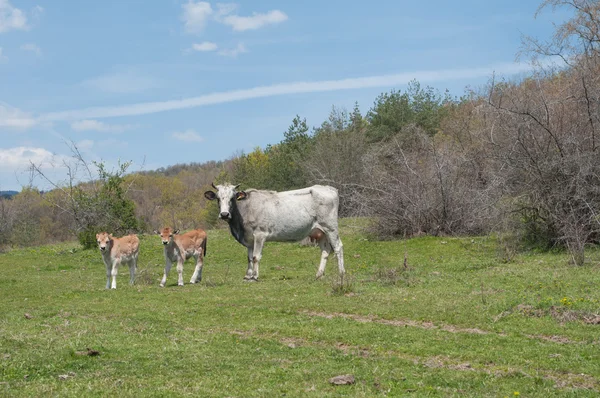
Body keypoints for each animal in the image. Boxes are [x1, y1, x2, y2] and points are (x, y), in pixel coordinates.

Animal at [204, 183, 344, 280]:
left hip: (331, 227)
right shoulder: (249, 239)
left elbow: (256, 256)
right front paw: (248, 275)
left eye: (232, 198)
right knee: (325, 251)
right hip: (320, 232)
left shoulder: (260, 234)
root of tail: (328, 188)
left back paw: (341, 273)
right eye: (218, 198)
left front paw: (254, 276)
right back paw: (319, 274)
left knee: (338, 247)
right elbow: (249, 258)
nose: (224, 214)